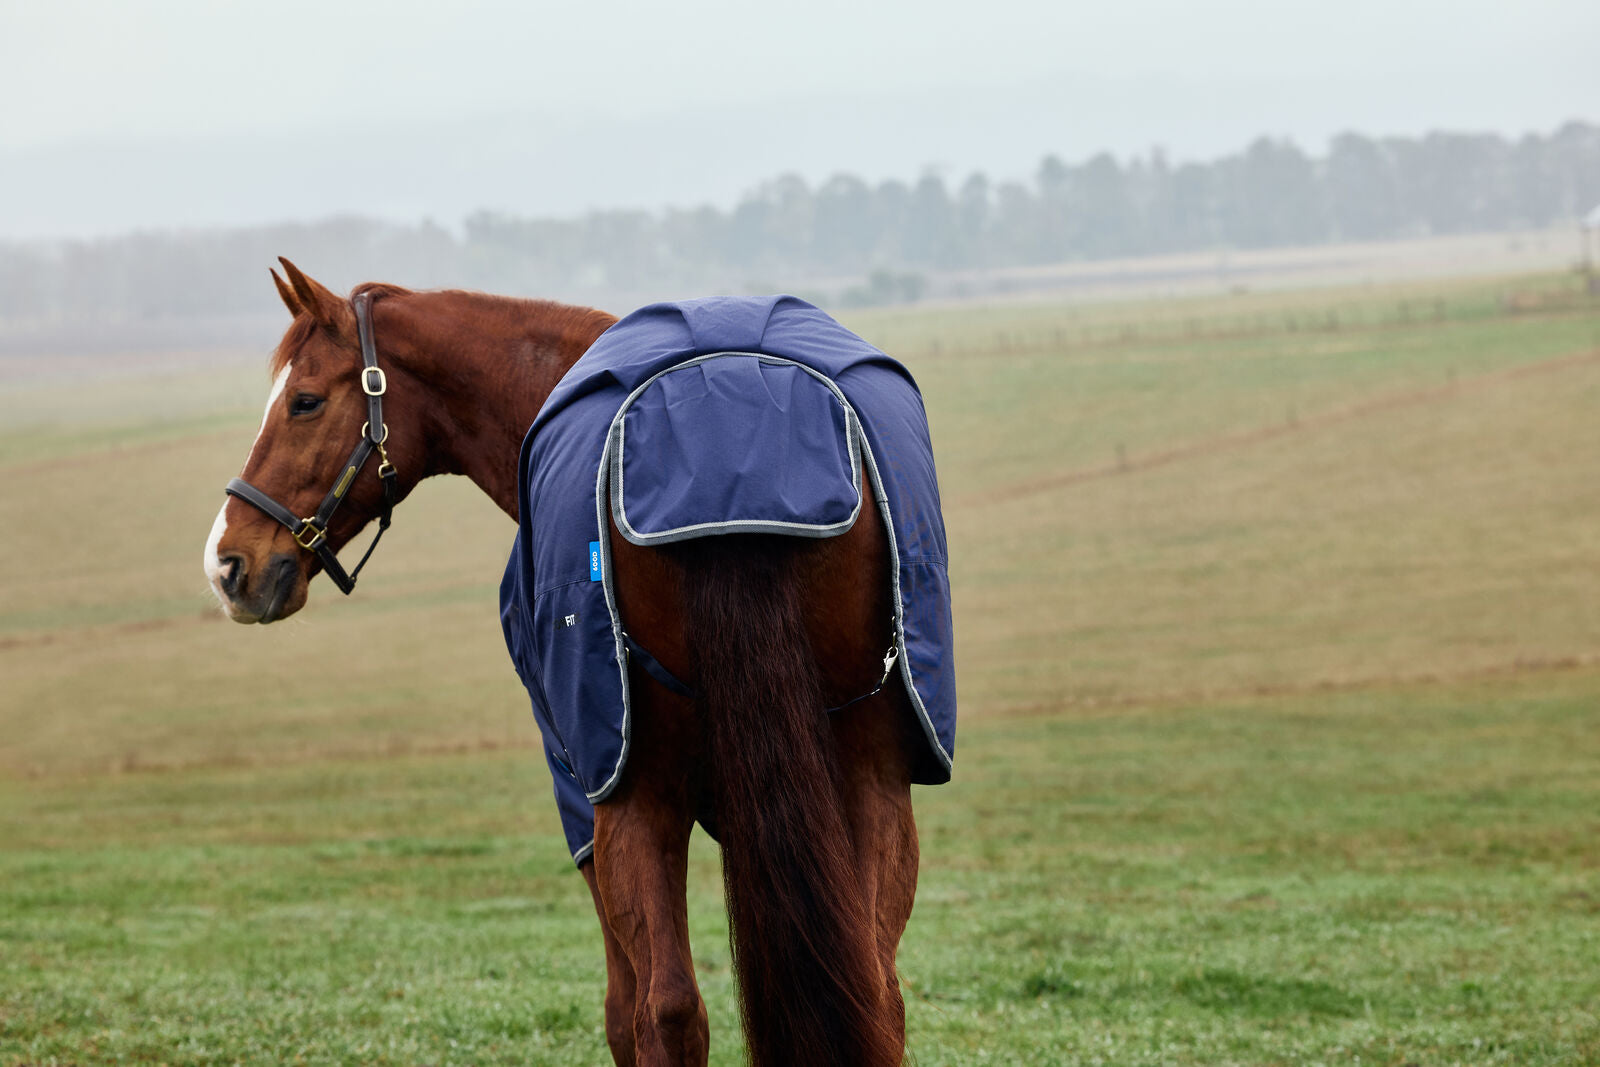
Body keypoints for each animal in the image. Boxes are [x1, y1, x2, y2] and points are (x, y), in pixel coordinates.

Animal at [202, 260, 951, 1066]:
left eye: (305, 401)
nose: (229, 563)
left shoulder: (583, 798)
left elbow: (628, 1011)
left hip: (631, 790)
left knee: (665, 1010)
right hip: (870, 778)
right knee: (876, 997)